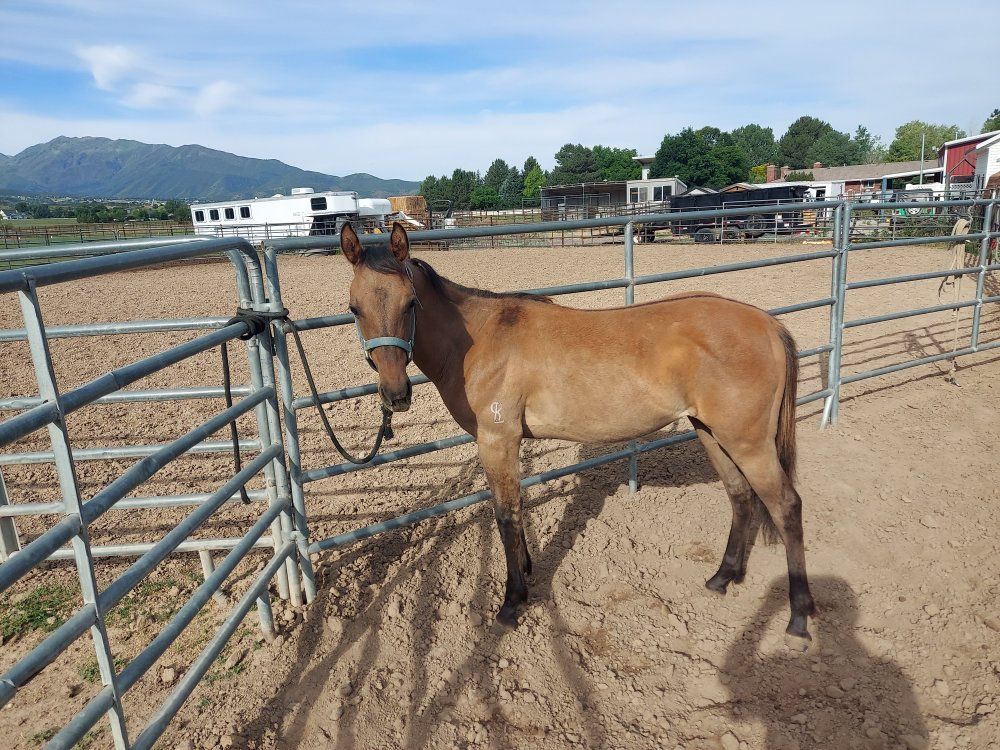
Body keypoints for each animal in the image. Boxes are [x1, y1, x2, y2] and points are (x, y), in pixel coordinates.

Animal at [339, 222, 816, 642]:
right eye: (354, 308)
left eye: (410, 304)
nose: (396, 394)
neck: (479, 341)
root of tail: (768, 324)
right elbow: (517, 508)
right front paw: (526, 572)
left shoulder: (497, 442)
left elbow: (506, 515)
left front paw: (512, 602)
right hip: (711, 433)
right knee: (740, 495)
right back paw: (723, 577)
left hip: (747, 442)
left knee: (786, 506)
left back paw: (798, 618)